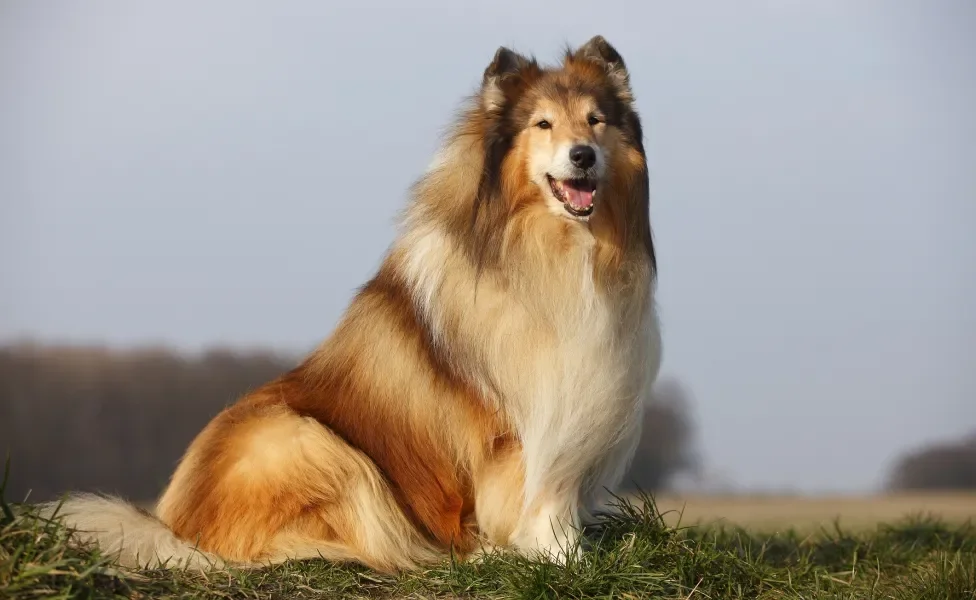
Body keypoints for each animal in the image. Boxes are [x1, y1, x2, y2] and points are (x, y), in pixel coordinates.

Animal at [40, 35, 664, 576]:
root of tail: (170, 526)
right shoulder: (521, 419)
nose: (582, 156)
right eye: (543, 124)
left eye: (596, 120)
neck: (560, 250)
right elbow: (540, 497)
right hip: (307, 443)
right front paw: (560, 557)